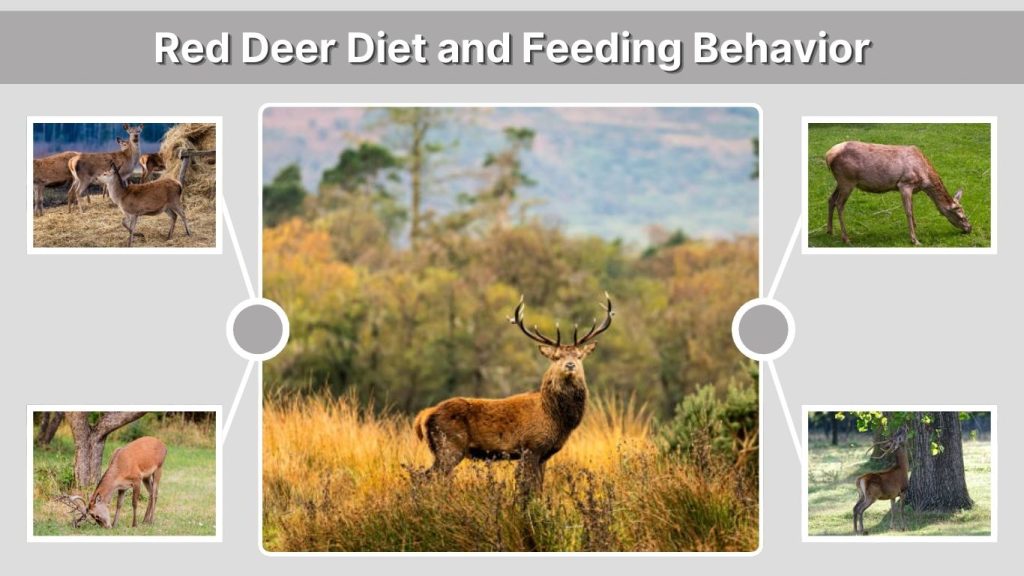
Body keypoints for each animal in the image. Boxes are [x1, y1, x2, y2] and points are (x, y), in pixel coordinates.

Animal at [413, 294, 613, 499]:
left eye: (579, 356)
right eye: (556, 357)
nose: (570, 365)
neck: (554, 417)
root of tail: (424, 415)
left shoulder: (544, 454)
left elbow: (538, 487)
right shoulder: (531, 447)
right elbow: (528, 488)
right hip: (449, 446)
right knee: (424, 476)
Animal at [825, 141, 972, 246]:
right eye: (961, 216)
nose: (969, 228)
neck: (925, 181)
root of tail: (828, 156)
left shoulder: (912, 188)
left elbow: (912, 208)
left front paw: (915, 228)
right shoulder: (904, 183)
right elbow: (908, 211)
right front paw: (914, 239)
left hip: (841, 182)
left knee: (831, 199)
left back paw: (830, 231)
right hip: (847, 180)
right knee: (839, 204)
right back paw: (846, 238)